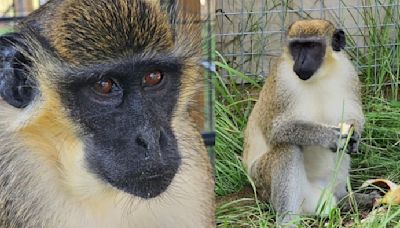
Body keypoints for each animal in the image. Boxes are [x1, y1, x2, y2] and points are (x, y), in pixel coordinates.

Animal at [242, 19, 376, 224]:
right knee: (287, 149)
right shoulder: (280, 82)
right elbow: (276, 131)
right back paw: (287, 221)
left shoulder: (349, 73)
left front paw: (355, 136)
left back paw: (346, 198)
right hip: (262, 183)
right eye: (297, 47)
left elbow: (354, 116)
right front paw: (328, 136)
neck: (320, 76)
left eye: (312, 46)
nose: (301, 62)